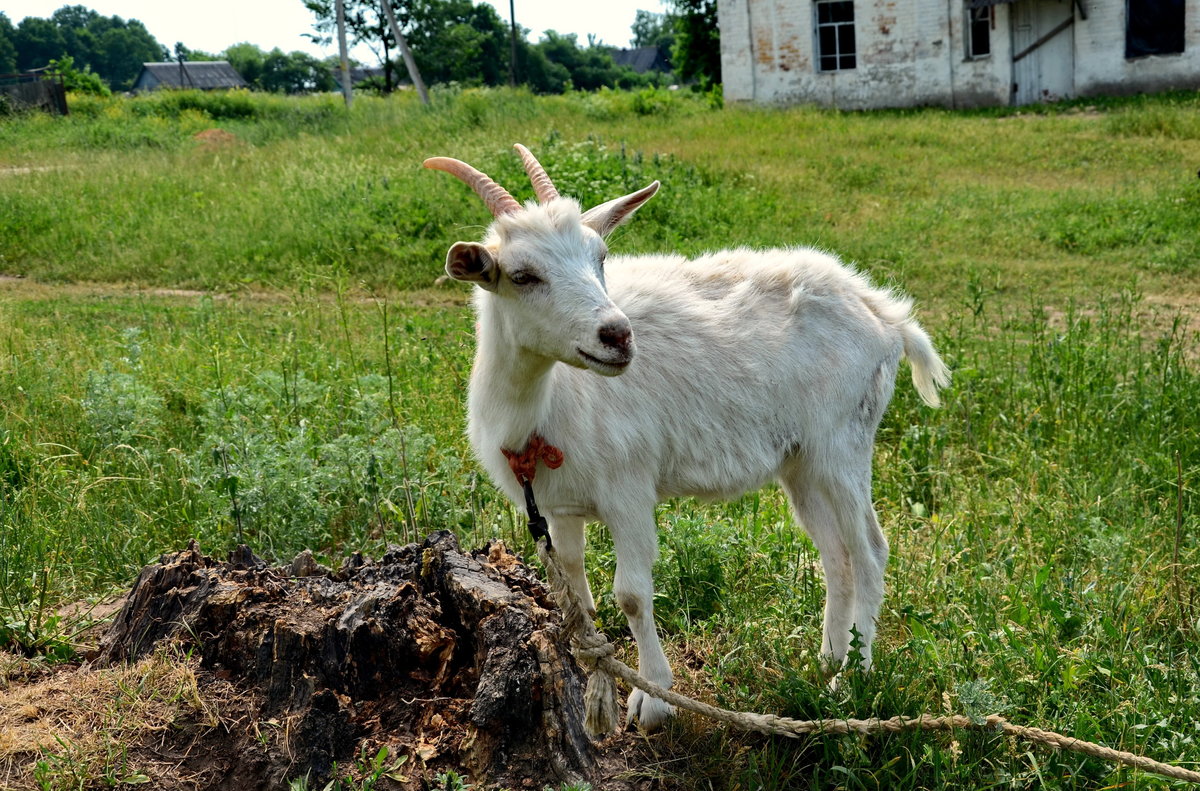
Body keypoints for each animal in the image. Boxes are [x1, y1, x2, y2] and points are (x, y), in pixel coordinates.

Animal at [425, 144, 950, 731]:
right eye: (521, 274)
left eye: (599, 256)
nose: (618, 336)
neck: (547, 403)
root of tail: (887, 316)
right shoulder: (560, 507)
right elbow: (578, 593)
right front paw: (592, 680)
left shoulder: (629, 489)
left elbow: (631, 595)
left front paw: (652, 699)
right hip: (802, 462)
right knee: (835, 554)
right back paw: (828, 658)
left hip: (844, 445)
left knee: (870, 552)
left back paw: (852, 678)